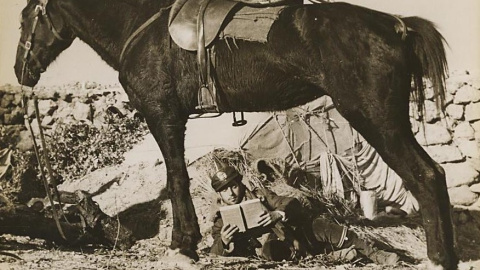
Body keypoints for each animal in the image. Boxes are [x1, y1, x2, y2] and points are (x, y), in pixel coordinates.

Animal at [14, 0, 458, 268]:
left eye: (25, 16)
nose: (21, 71)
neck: (139, 28)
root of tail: (397, 25)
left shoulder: (163, 117)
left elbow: (177, 179)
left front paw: (181, 245)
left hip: (376, 118)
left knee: (426, 176)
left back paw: (438, 257)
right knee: (433, 175)